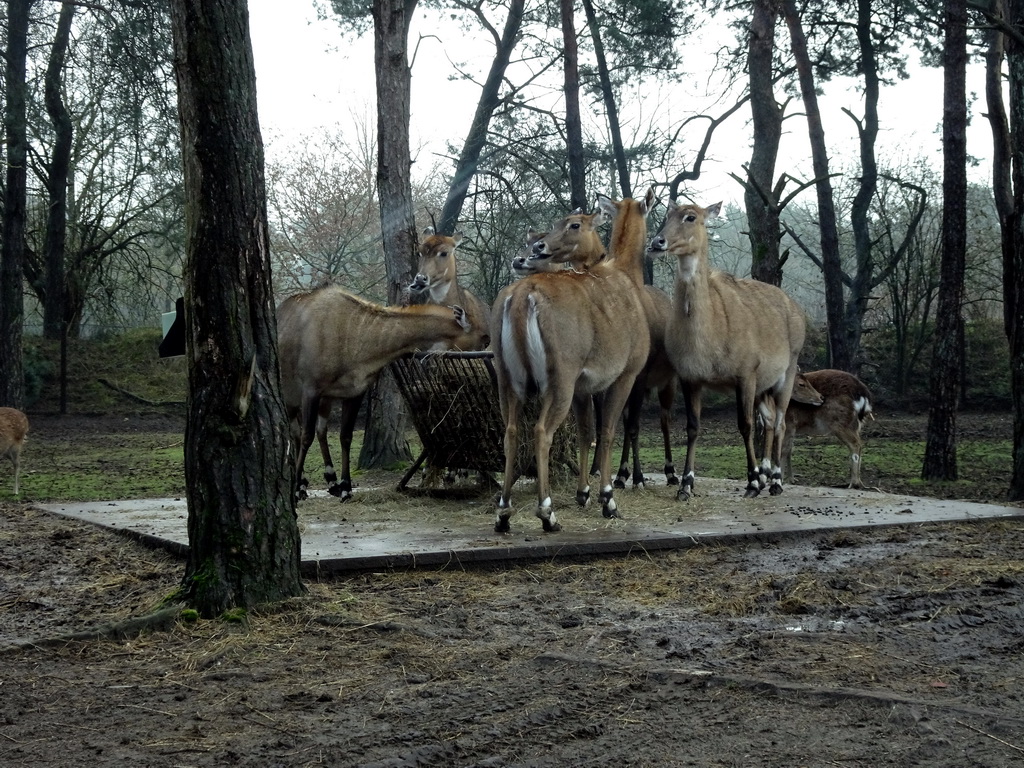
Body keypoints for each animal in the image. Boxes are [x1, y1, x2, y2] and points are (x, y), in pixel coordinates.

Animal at [276, 286, 475, 501]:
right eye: (475, 336)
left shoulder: (354, 393)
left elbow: (345, 436)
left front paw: (345, 487)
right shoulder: (311, 390)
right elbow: (306, 436)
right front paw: (297, 489)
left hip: (320, 400)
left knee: (315, 430)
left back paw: (330, 481)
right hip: (293, 397)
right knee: (297, 433)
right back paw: (303, 483)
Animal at [487, 201, 647, 532]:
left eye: (573, 224)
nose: (534, 251)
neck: (627, 277)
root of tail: (520, 297)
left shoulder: (583, 387)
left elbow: (586, 431)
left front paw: (583, 493)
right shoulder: (624, 375)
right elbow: (607, 430)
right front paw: (607, 499)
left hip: (509, 381)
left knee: (511, 432)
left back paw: (504, 513)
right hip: (559, 380)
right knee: (541, 431)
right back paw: (547, 513)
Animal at [647, 199, 806, 499]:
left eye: (691, 217)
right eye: (668, 214)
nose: (656, 242)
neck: (708, 334)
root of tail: (796, 308)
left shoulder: (745, 374)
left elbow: (745, 426)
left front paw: (752, 483)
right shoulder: (690, 378)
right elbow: (692, 427)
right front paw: (685, 484)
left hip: (786, 373)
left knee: (779, 421)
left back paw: (775, 481)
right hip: (763, 386)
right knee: (769, 420)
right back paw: (766, 475)